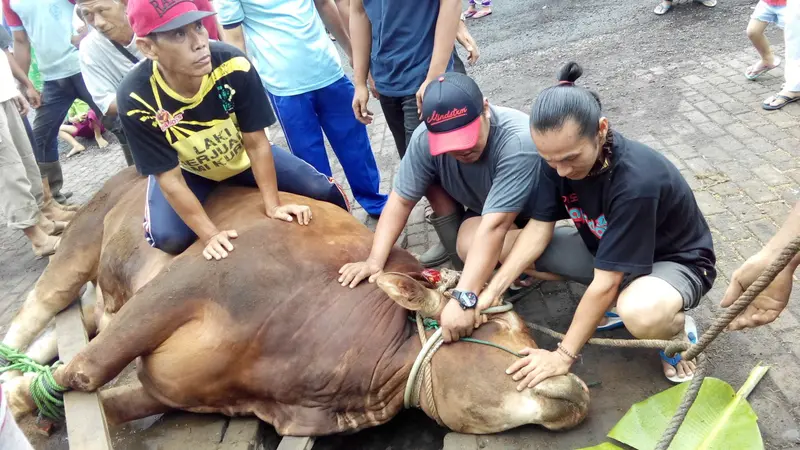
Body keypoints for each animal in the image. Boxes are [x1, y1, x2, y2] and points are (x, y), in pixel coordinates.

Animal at [0, 168, 588, 436]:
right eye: (497, 325)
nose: (576, 386)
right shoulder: (189, 283)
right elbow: (83, 372)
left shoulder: (172, 389)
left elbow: (100, 401)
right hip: (81, 241)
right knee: (39, 306)